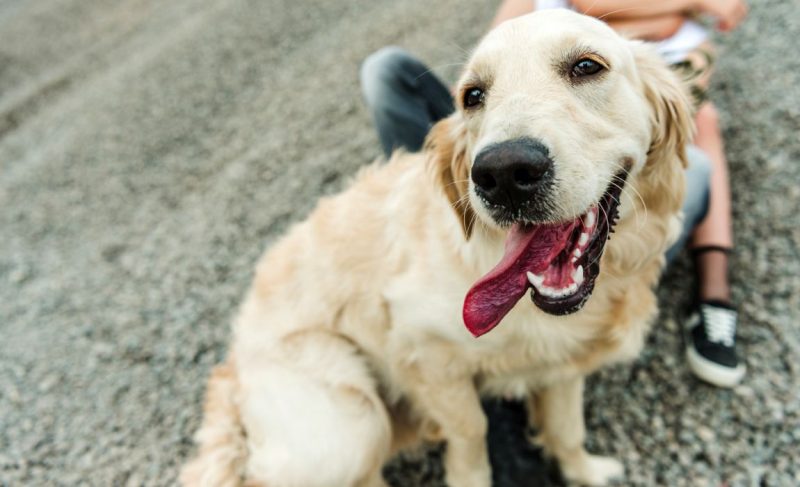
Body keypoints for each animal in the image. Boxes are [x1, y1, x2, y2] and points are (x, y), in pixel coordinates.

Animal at [184, 8, 692, 487]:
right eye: (473, 96)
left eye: (587, 66)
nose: (503, 173)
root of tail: (232, 358)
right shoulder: (421, 344)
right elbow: (470, 430)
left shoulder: (562, 361)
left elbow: (567, 428)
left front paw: (584, 471)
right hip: (346, 423)